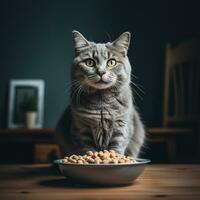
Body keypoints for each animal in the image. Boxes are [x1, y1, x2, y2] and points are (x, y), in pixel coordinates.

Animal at [56, 30, 145, 158]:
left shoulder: (122, 127)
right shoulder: (81, 128)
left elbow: (117, 147)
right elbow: (87, 149)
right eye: (89, 62)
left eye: (111, 62)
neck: (102, 103)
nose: (101, 72)